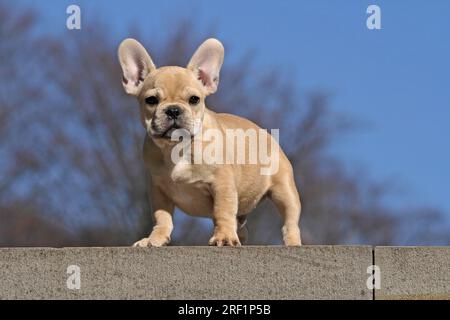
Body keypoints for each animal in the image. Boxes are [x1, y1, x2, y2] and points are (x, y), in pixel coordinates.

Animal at [118, 38, 302, 248]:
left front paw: (224, 237)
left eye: (194, 99)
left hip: (283, 189)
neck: (178, 148)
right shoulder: (158, 190)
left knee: (290, 221)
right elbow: (162, 217)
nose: (173, 110)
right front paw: (154, 239)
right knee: (241, 227)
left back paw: (292, 242)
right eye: (151, 100)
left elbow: (223, 210)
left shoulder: (222, 184)